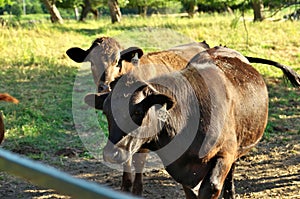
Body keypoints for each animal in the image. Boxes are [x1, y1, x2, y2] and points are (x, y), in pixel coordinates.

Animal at [85, 45, 298, 198]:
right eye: (106, 113)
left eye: (137, 111)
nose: (111, 154)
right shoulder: (183, 171)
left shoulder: (224, 154)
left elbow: (211, 186)